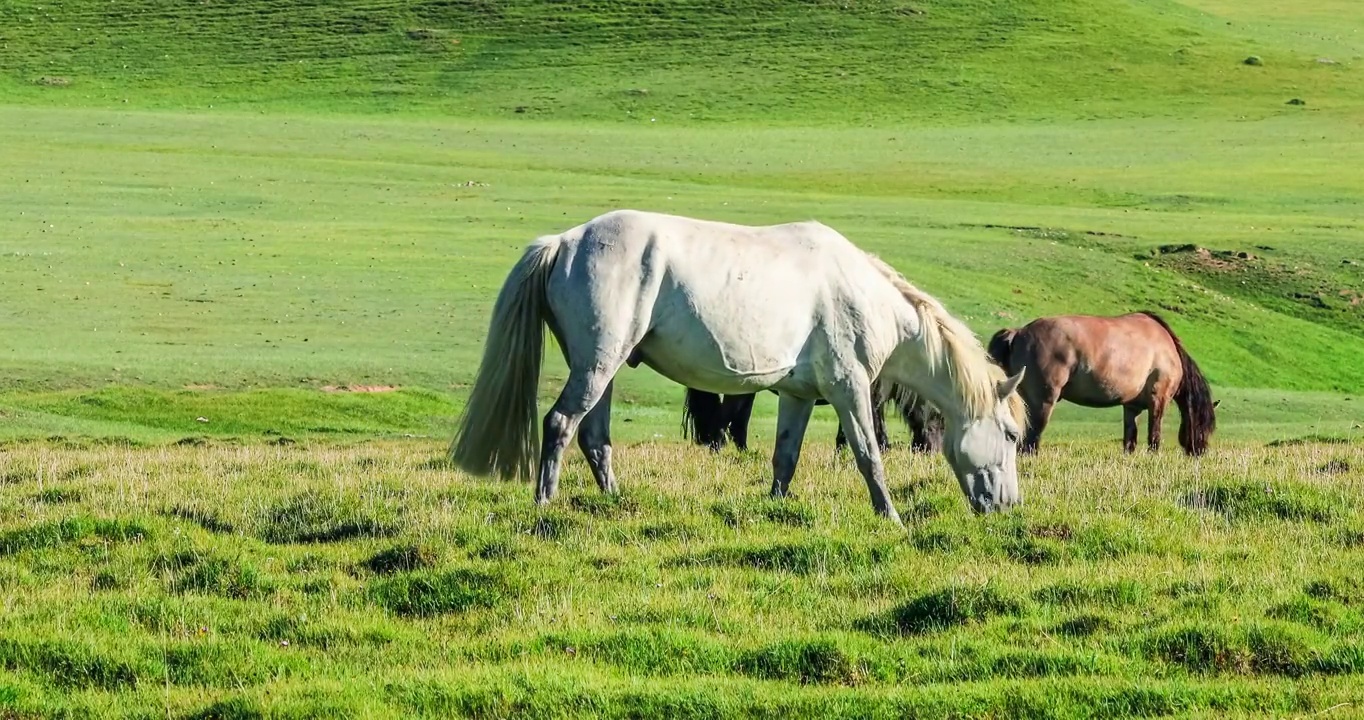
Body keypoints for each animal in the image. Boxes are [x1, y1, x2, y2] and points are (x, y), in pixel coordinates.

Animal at [452, 210, 1025, 523]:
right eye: (1012, 436)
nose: (1008, 506)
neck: (868, 298)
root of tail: (565, 242)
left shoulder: (798, 396)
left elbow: (785, 459)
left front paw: (776, 509)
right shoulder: (850, 389)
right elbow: (868, 455)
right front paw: (892, 518)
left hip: (602, 369)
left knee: (595, 437)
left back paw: (614, 501)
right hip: (596, 365)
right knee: (560, 424)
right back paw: (544, 504)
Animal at [987, 309, 1222, 455]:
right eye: (1205, 425)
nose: (1200, 451)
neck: (1168, 349)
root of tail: (1018, 333)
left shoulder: (1132, 407)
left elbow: (1130, 440)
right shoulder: (1159, 399)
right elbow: (1154, 436)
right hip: (1043, 402)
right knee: (1030, 441)